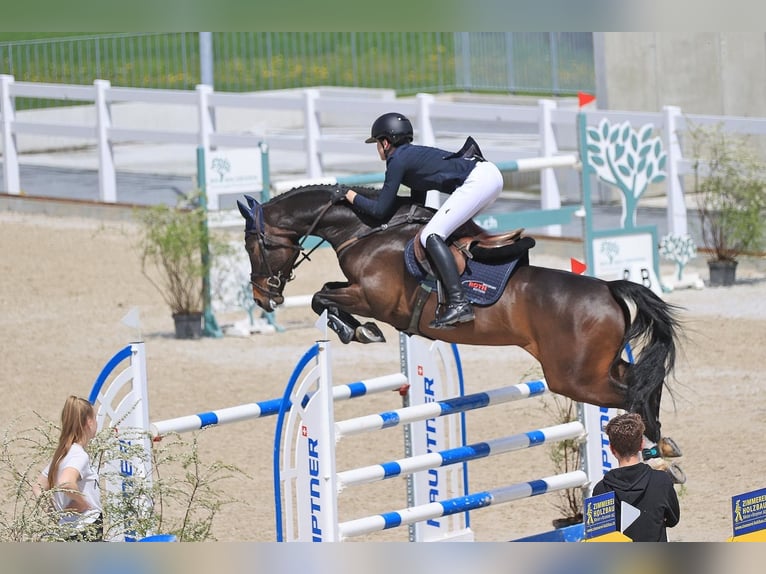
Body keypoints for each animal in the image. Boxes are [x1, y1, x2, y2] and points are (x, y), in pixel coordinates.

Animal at [238, 186, 684, 450]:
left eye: (254, 245)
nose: (263, 296)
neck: (366, 230)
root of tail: (609, 288)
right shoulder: (359, 291)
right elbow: (326, 292)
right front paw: (357, 329)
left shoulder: (373, 298)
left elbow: (320, 296)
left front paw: (357, 330)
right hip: (594, 366)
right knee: (641, 381)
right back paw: (662, 444)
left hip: (574, 377)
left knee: (633, 394)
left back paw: (654, 446)